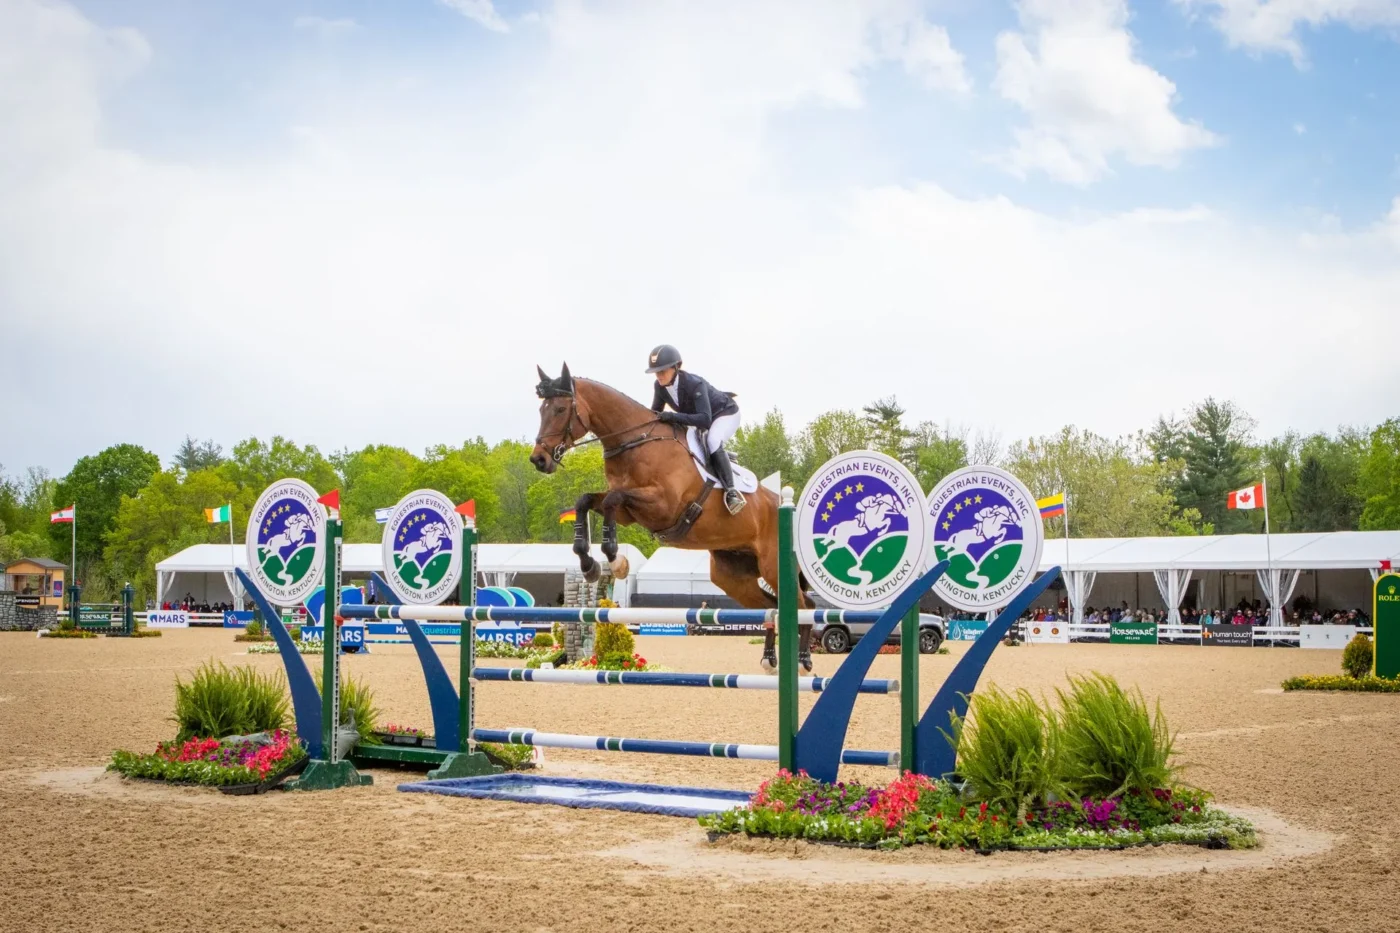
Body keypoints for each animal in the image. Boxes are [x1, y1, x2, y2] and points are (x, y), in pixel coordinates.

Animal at [529, 363, 813, 672]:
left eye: (560, 409)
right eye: (541, 410)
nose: (539, 460)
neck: (635, 442)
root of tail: (788, 509)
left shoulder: (662, 505)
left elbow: (613, 500)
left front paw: (616, 561)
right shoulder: (628, 513)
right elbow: (587, 501)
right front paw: (589, 563)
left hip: (772, 566)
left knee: (804, 607)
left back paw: (802, 660)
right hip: (732, 576)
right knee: (772, 607)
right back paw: (769, 659)